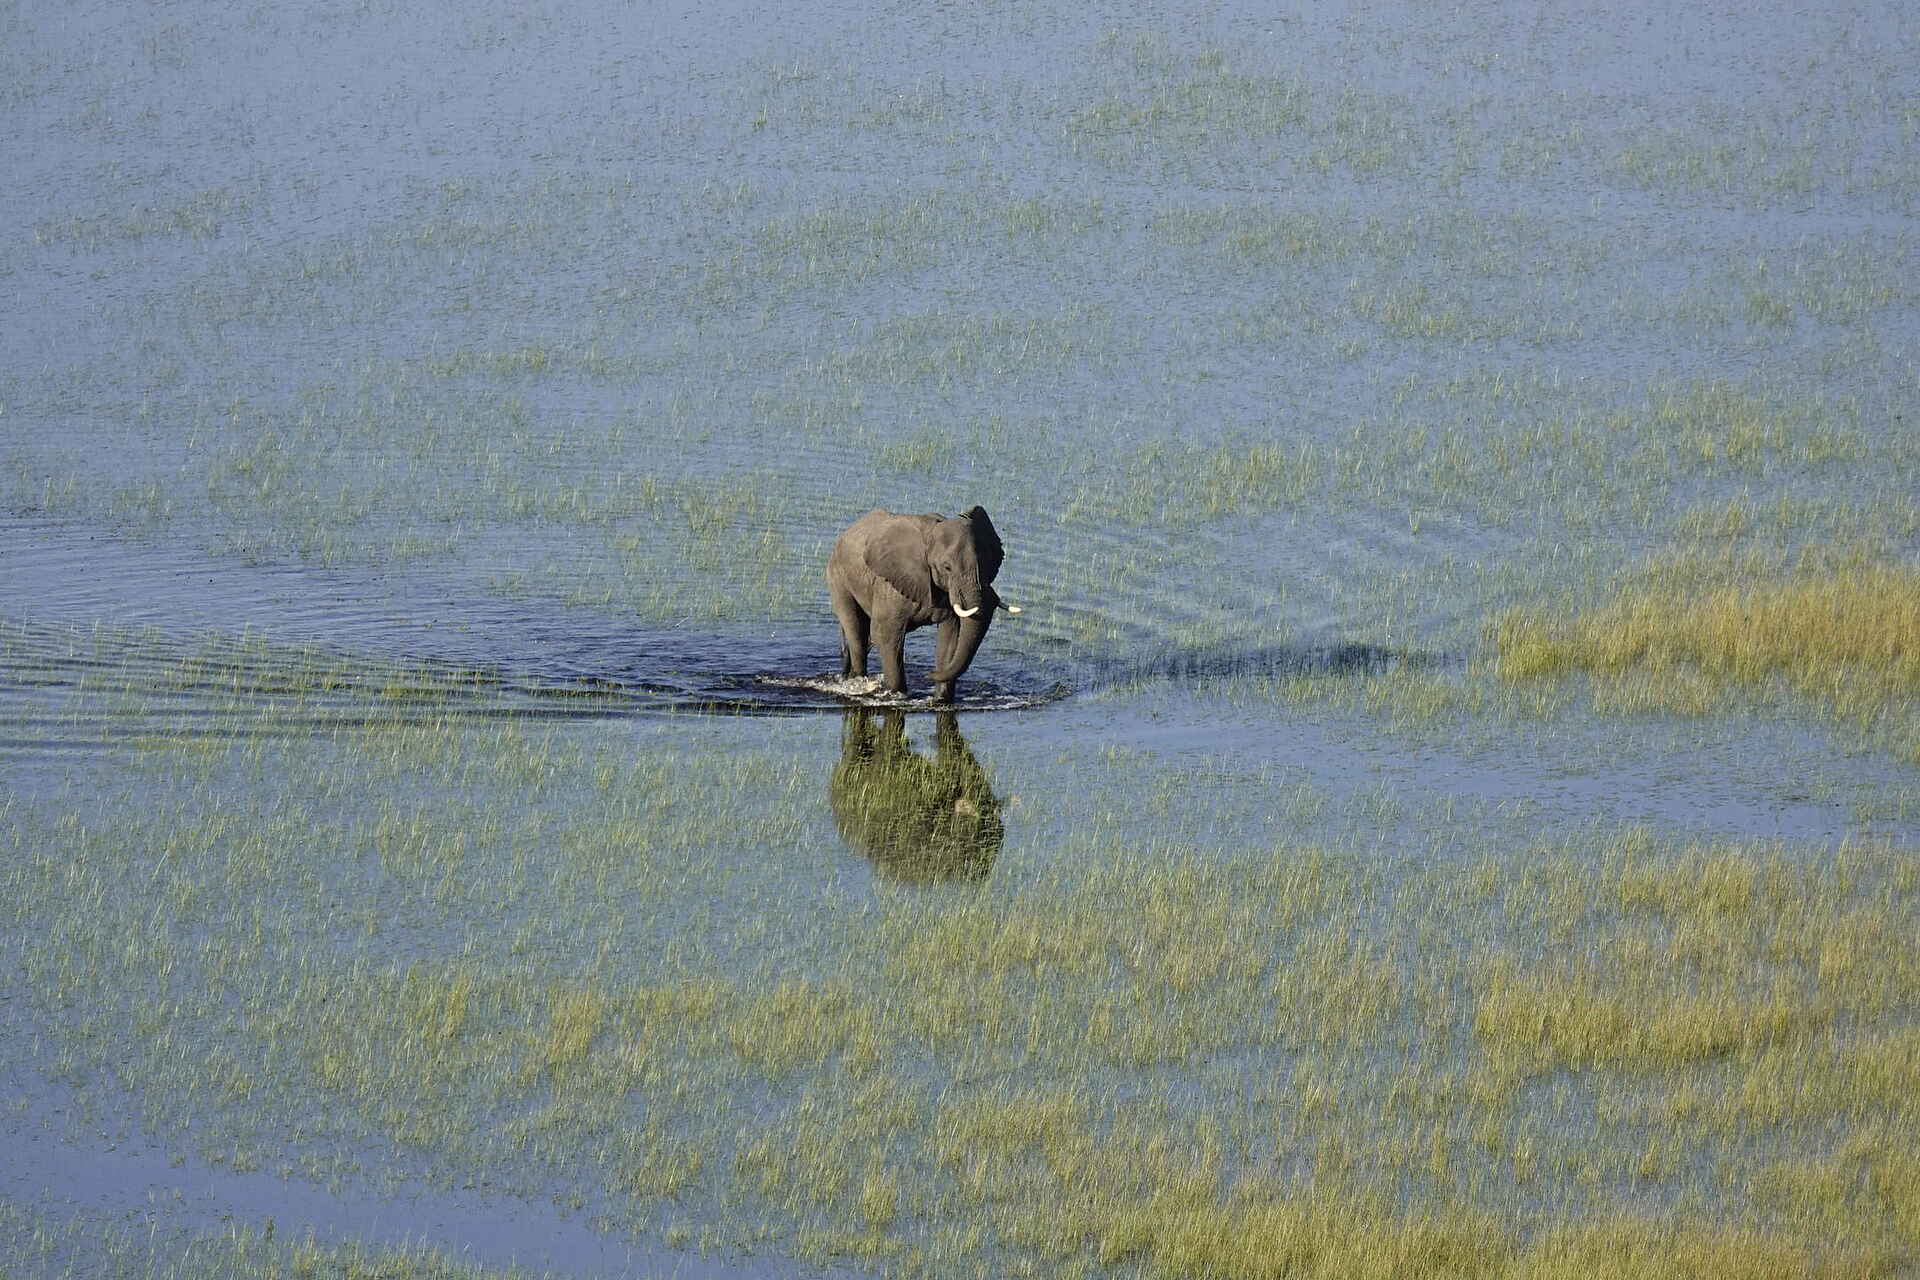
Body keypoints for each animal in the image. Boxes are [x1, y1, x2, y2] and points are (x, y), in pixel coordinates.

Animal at [827, 505, 1007, 704]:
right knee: (856, 630)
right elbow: (885, 633)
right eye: (947, 568)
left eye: (986, 564)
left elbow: (951, 637)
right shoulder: (890, 584)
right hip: (838, 578)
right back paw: (856, 682)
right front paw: (896, 695)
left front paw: (940, 700)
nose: (928, 674)